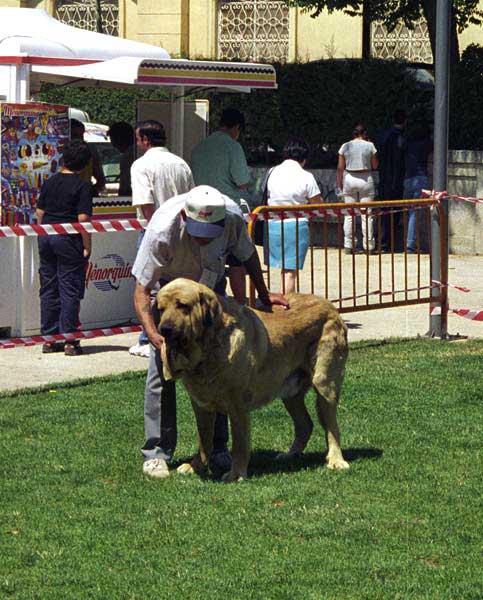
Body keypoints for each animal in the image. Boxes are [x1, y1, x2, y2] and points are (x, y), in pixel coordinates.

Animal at [157, 278, 350, 482]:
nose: (164, 329)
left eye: (182, 305)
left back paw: (336, 460)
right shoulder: (201, 405)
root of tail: (331, 306)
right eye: (161, 309)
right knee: (305, 424)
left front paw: (236, 474)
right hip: (290, 393)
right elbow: (204, 440)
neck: (208, 349)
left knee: (332, 427)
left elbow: (239, 444)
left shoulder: (238, 406)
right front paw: (196, 467)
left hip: (325, 385)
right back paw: (290, 454)